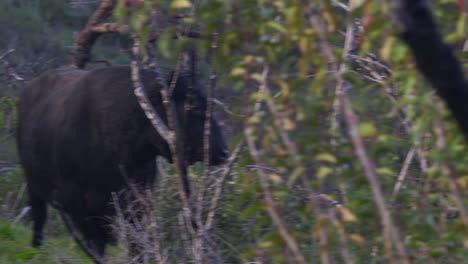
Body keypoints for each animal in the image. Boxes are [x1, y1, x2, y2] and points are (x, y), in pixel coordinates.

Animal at [17, 66, 229, 262]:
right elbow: (97, 245)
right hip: (33, 186)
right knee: (39, 220)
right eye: (195, 107)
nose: (223, 151)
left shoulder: (136, 204)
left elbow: (135, 245)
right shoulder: (77, 204)